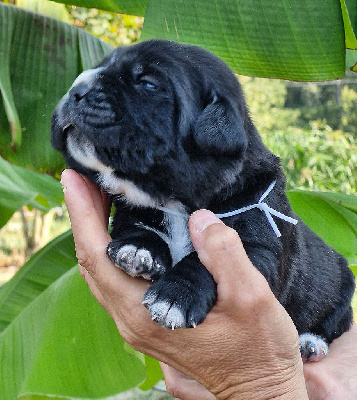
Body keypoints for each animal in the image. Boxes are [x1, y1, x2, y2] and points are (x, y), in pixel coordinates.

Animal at [51, 39, 354, 362]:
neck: (176, 201)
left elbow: (205, 263)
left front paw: (175, 296)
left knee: (335, 323)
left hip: (342, 289)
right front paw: (138, 249)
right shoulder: (133, 213)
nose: (76, 89)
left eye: (147, 83)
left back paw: (310, 342)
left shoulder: (258, 248)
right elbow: (139, 229)